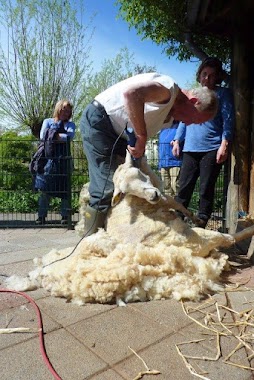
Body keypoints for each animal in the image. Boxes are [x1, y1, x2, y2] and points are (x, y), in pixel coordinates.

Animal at [5, 152, 254, 306]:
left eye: (138, 177)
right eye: (128, 189)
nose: (152, 195)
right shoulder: (166, 200)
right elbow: (179, 204)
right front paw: (194, 216)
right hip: (194, 237)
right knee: (227, 238)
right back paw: (246, 230)